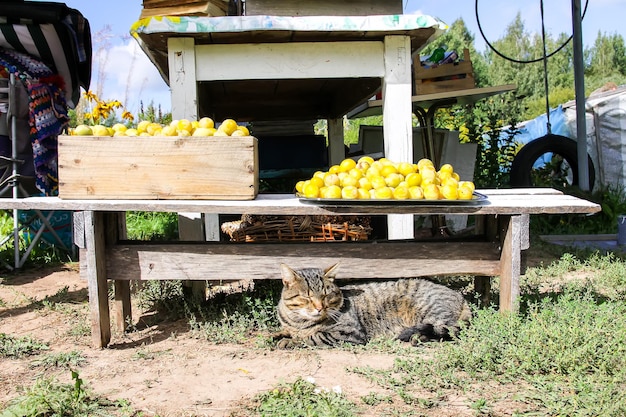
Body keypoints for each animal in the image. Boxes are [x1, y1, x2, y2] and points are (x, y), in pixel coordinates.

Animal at [276, 264, 470, 348]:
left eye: (326, 295)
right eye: (306, 297)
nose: (319, 308)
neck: (298, 321)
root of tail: (459, 295)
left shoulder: (349, 332)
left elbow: (314, 337)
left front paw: (290, 341)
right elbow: (284, 331)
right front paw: (278, 334)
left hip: (430, 313)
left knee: (447, 331)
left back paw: (417, 337)